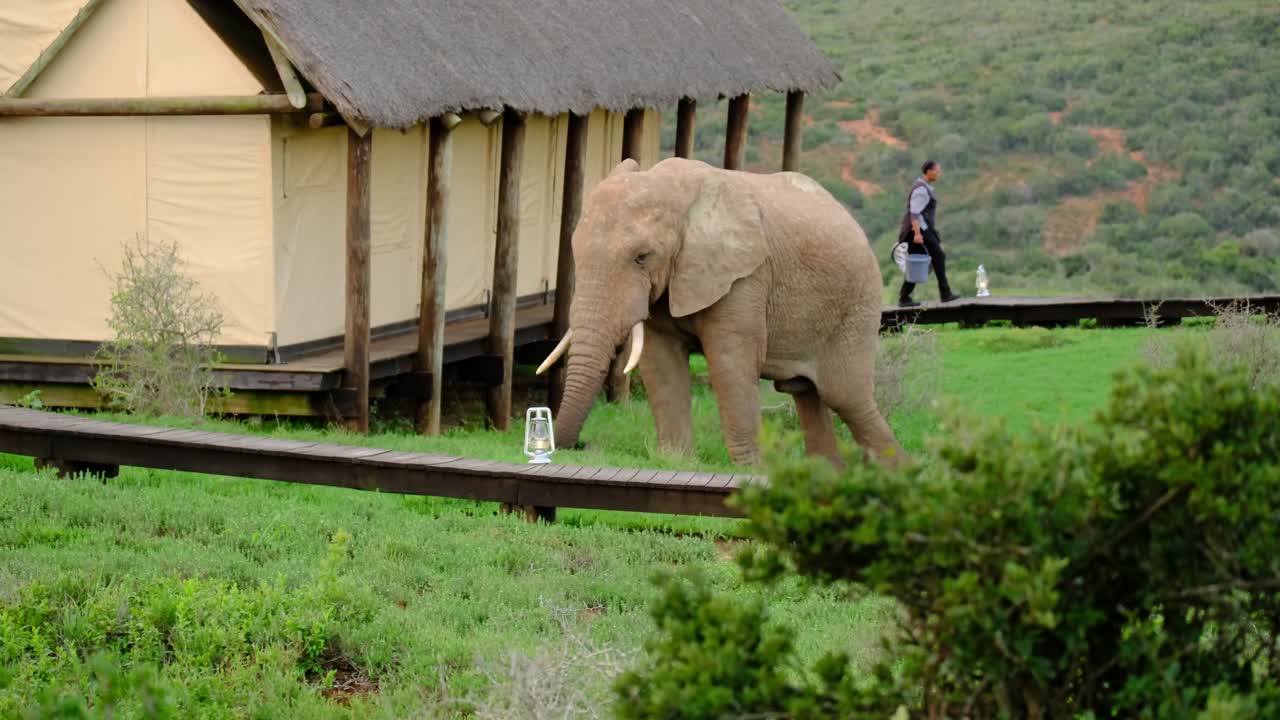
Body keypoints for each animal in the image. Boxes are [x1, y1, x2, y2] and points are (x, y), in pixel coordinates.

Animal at [536, 156, 904, 466]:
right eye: (575, 250)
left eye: (642, 257)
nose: (578, 446)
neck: (674, 190)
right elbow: (660, 361)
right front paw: (676, 461)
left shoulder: (745, 275)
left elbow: (731, 360)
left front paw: (751, 469)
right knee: (806, 393)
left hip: (857, 306)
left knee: (847, 397)